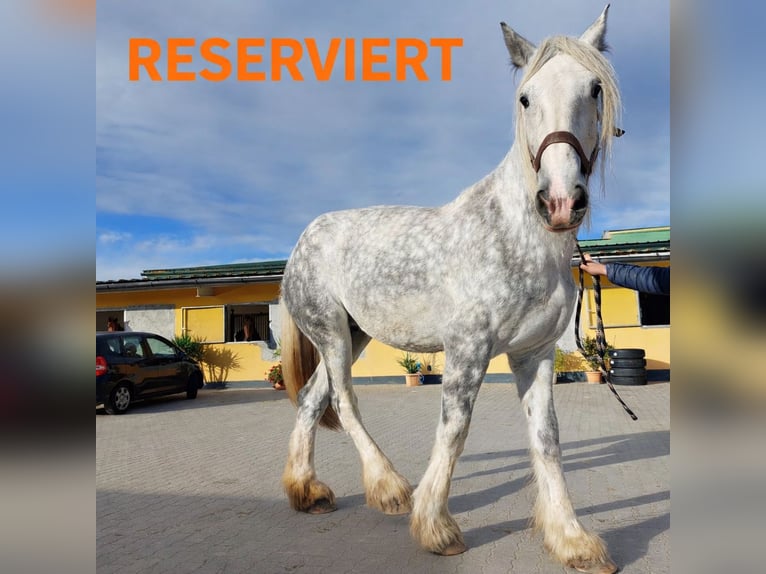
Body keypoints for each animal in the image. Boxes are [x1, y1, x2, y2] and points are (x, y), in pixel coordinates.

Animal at [279, 6, 622, 573]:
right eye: (525, 98)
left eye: (594, 89)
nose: (559, 201)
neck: (517, 237)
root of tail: (304, 240)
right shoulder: (467, 349)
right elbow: (455, 429)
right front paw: (436, 527)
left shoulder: (535, 354)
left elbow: (547, 440)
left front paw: (572, 540)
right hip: (330, 334)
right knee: (345, 402)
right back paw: (390, 489)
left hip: (351, 336)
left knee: (310, 400)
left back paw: (308, 492)